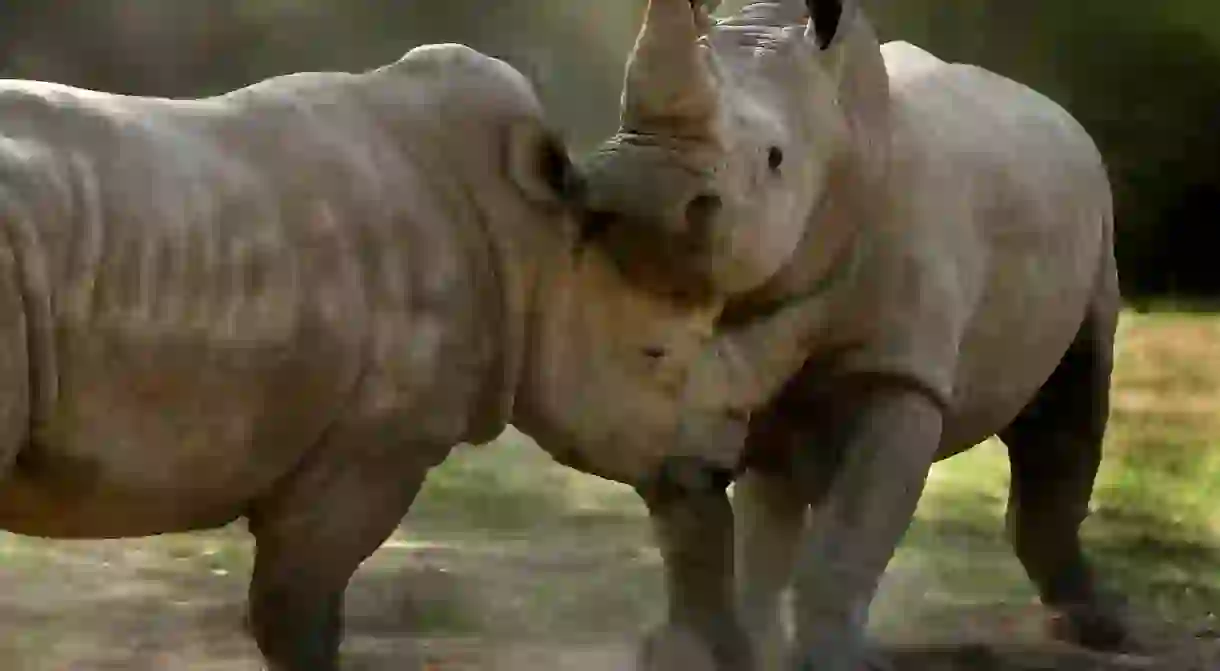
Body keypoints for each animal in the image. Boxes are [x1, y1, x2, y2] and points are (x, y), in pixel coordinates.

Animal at [580, 1, 1132, 671]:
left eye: (775, 158)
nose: (642, 197)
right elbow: (694, 514)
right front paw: (696, 653)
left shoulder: (899, 373)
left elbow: (853, 526)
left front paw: (830, 661)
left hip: (1096, 226)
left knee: (1071, 402)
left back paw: (1097, 630)